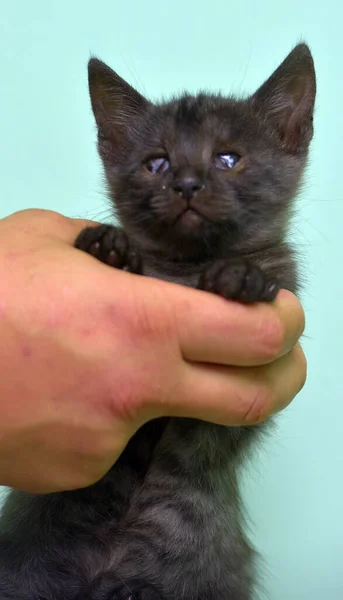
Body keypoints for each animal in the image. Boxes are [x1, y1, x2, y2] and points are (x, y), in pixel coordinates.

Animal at [0, 43, 318, 600]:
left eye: (228, 158)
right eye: (157, 162)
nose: (187, 183)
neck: (184, 269)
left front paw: (241, 277)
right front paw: (110, 248)